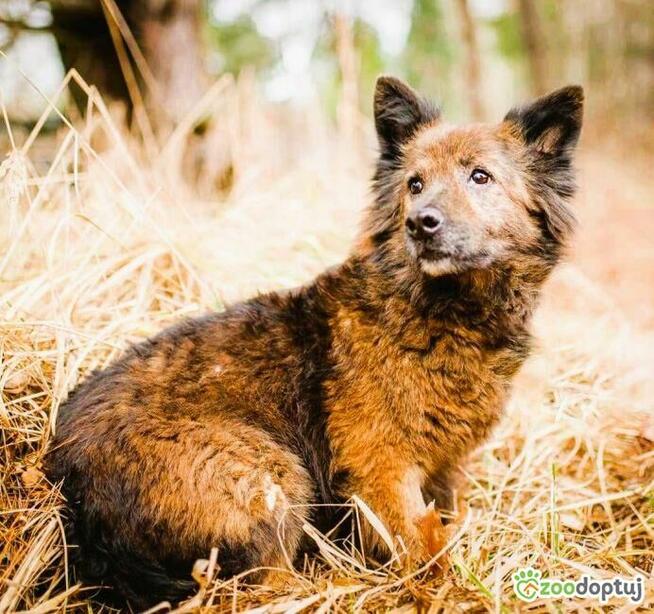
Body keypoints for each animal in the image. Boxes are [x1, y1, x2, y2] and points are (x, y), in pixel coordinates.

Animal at [48, 78, 588, 612]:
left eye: (480, 177)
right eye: (414, 184)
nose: (421, 222)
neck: (437, 312)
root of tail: (67, 480)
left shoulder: (444, 465)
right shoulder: (381, 466)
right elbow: (417, 544)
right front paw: (441, 589)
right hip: (273, 475)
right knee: (261, 584)